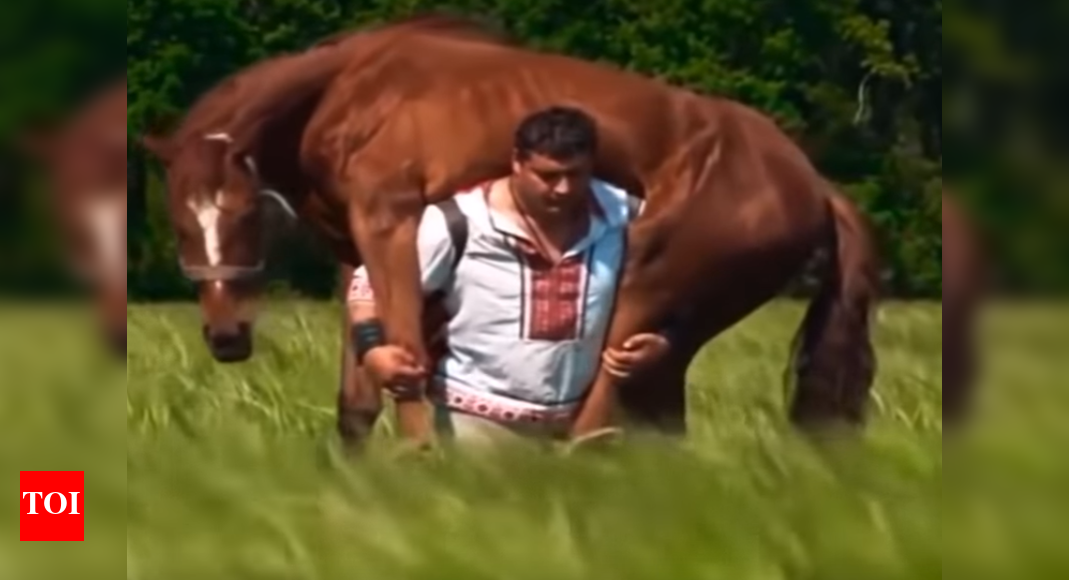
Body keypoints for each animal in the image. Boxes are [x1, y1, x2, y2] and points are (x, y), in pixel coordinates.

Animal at [144, 15, 880, 448]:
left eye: (245, 214)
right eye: (180, 223)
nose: (227, 336)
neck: (350, 93)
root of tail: (811, 181)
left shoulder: (391, 229)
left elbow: (408, 373)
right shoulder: (355, 254)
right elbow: (358, 398)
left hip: (645, 284)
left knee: (603, 407)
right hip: (677, 329)